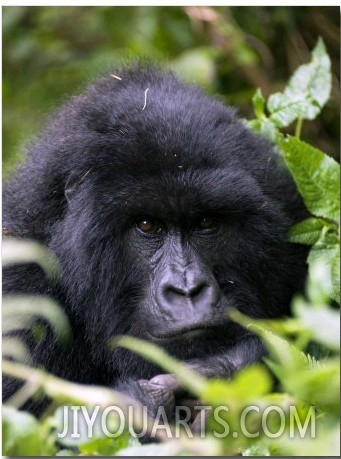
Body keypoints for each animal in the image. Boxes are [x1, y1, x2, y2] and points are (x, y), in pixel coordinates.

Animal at [1, 63, 306, 420]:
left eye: (205, 223)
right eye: (147, 225)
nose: (187, 290)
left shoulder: (290, 220)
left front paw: (223, 371)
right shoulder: (19, 285)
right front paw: (147, 401)